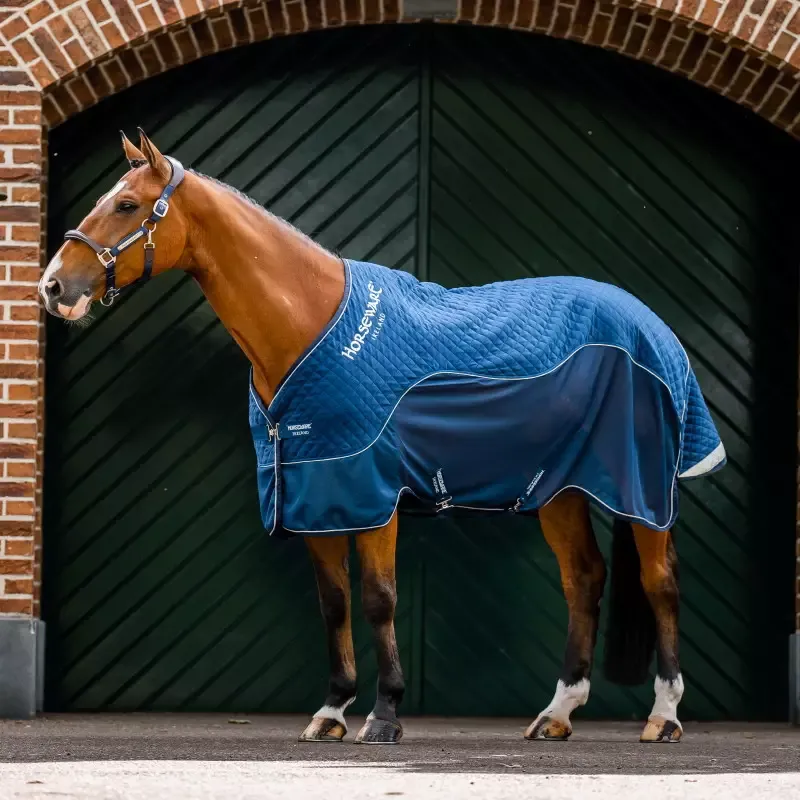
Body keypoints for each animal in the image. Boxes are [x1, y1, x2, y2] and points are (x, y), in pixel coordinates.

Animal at [40, 130, 726, 746]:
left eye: (127, 205)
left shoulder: (371, 493)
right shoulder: (314, 494)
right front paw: (331, 712)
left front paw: (386, 714)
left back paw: (664, 716)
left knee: (660, 582)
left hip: (641, 488)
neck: (309, 323)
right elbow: (334, 603)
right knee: (583, 577)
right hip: (560, 489)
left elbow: (378, 598)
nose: (53, 286)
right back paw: (557, 714)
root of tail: (650, 325)